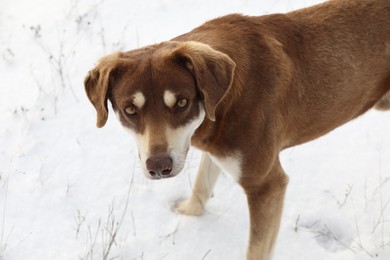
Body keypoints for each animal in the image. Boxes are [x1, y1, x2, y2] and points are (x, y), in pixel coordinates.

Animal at [85, 1, 390, 258]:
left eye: (182, 103)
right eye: (130, 110)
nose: (159, 167)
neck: (223, 101)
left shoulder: (266, 185)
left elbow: (256, 248)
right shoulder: (214, 146)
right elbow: (202, 184)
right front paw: (187, 215)